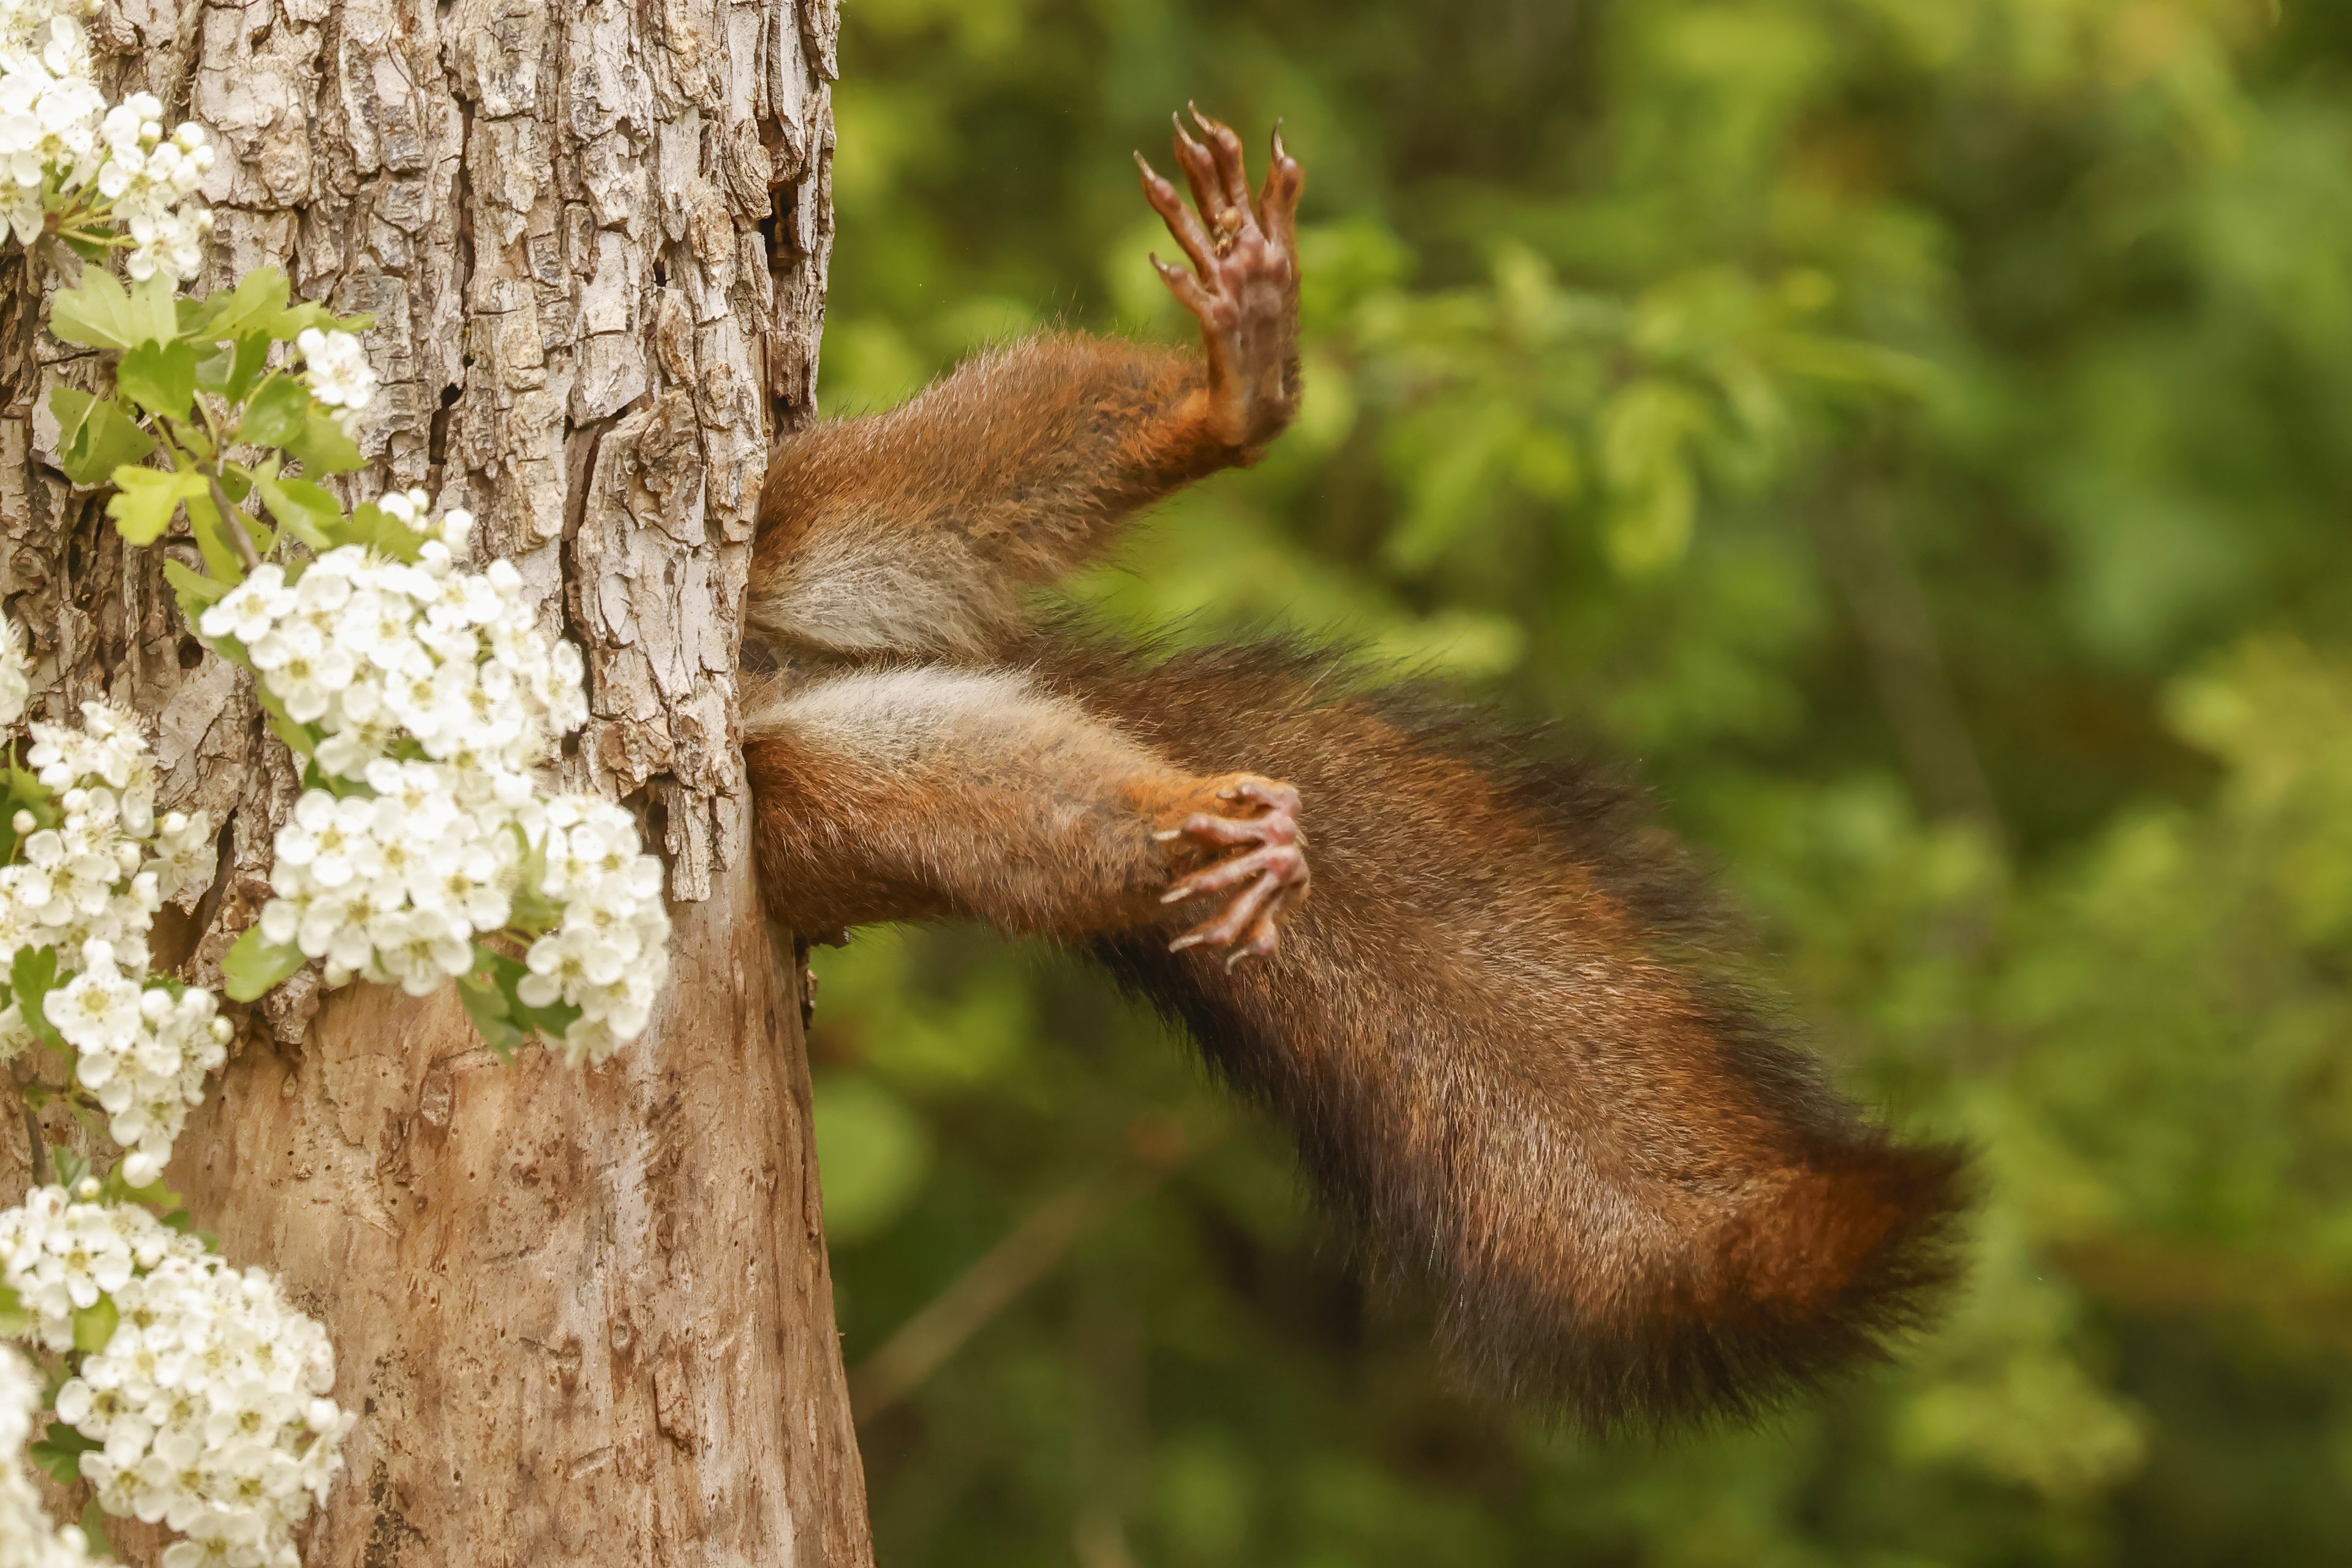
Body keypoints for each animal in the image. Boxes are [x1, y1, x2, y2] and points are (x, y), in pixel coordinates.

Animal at [738, 113, 1966, 1438]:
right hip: (817, 797)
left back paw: (1234, 392)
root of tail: (782, 669)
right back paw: (1203, 826)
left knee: (959, 471)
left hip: (805, 519)